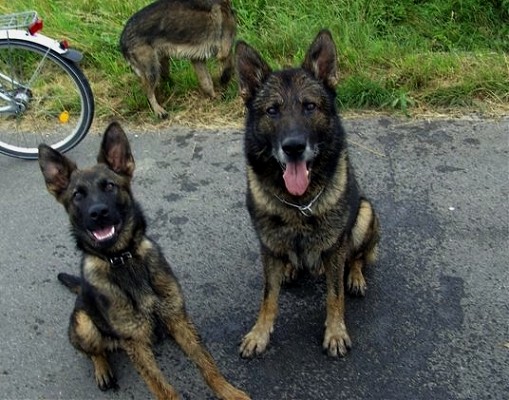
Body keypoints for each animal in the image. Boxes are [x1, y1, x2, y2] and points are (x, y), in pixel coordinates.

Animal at [38, 122, 250, 400]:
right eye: (77, 195)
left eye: (109, 186)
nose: (98, 213)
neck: (123, 259)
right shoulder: (135, 343)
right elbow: (162, 387)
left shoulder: (178, 318)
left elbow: (207, 364)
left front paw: (229, 392)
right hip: (84, 325)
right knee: (94, 350)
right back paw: (102, 368)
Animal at [235, 30, 380, 358]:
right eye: (272, 110)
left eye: (309, 106)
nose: (293, 147)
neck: (298, 203)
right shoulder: (268, 247)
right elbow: (268, 296)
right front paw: (260, 333)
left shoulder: (336, 248)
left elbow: (334, 295)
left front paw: (335, 332)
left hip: (366, 212)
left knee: (358, 257)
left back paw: (355, 276)